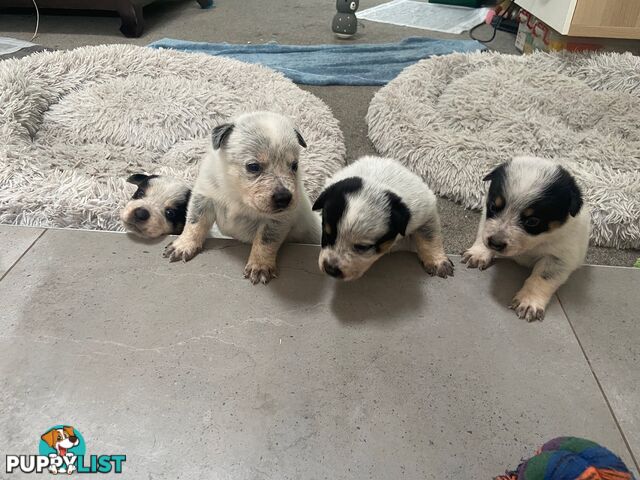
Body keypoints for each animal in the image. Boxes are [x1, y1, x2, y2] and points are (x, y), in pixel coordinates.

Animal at [162, 110, 318, 284]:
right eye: (253, 167)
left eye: (294, 166)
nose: (284, 198)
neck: (238, 195)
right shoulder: (204, 197)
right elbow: (195, 223)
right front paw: (184, 245)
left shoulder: (278, 219)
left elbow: (265, 241)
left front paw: (259, 265)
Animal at [312, 156, 452, 282]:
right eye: (326, 234)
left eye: (363, 247)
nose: (330, 269)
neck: (376, 185)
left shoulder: (424, 211)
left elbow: (429, 236)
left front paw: (437, 261)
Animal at [460, 158, 592, 320]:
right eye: (493, 206)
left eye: (533, 221)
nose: (495, 243)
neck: (536, 242)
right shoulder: (486, 219)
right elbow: (483, 233)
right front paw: (479, 253)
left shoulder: (559, 259)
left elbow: (541, 278)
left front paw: (529, 301)